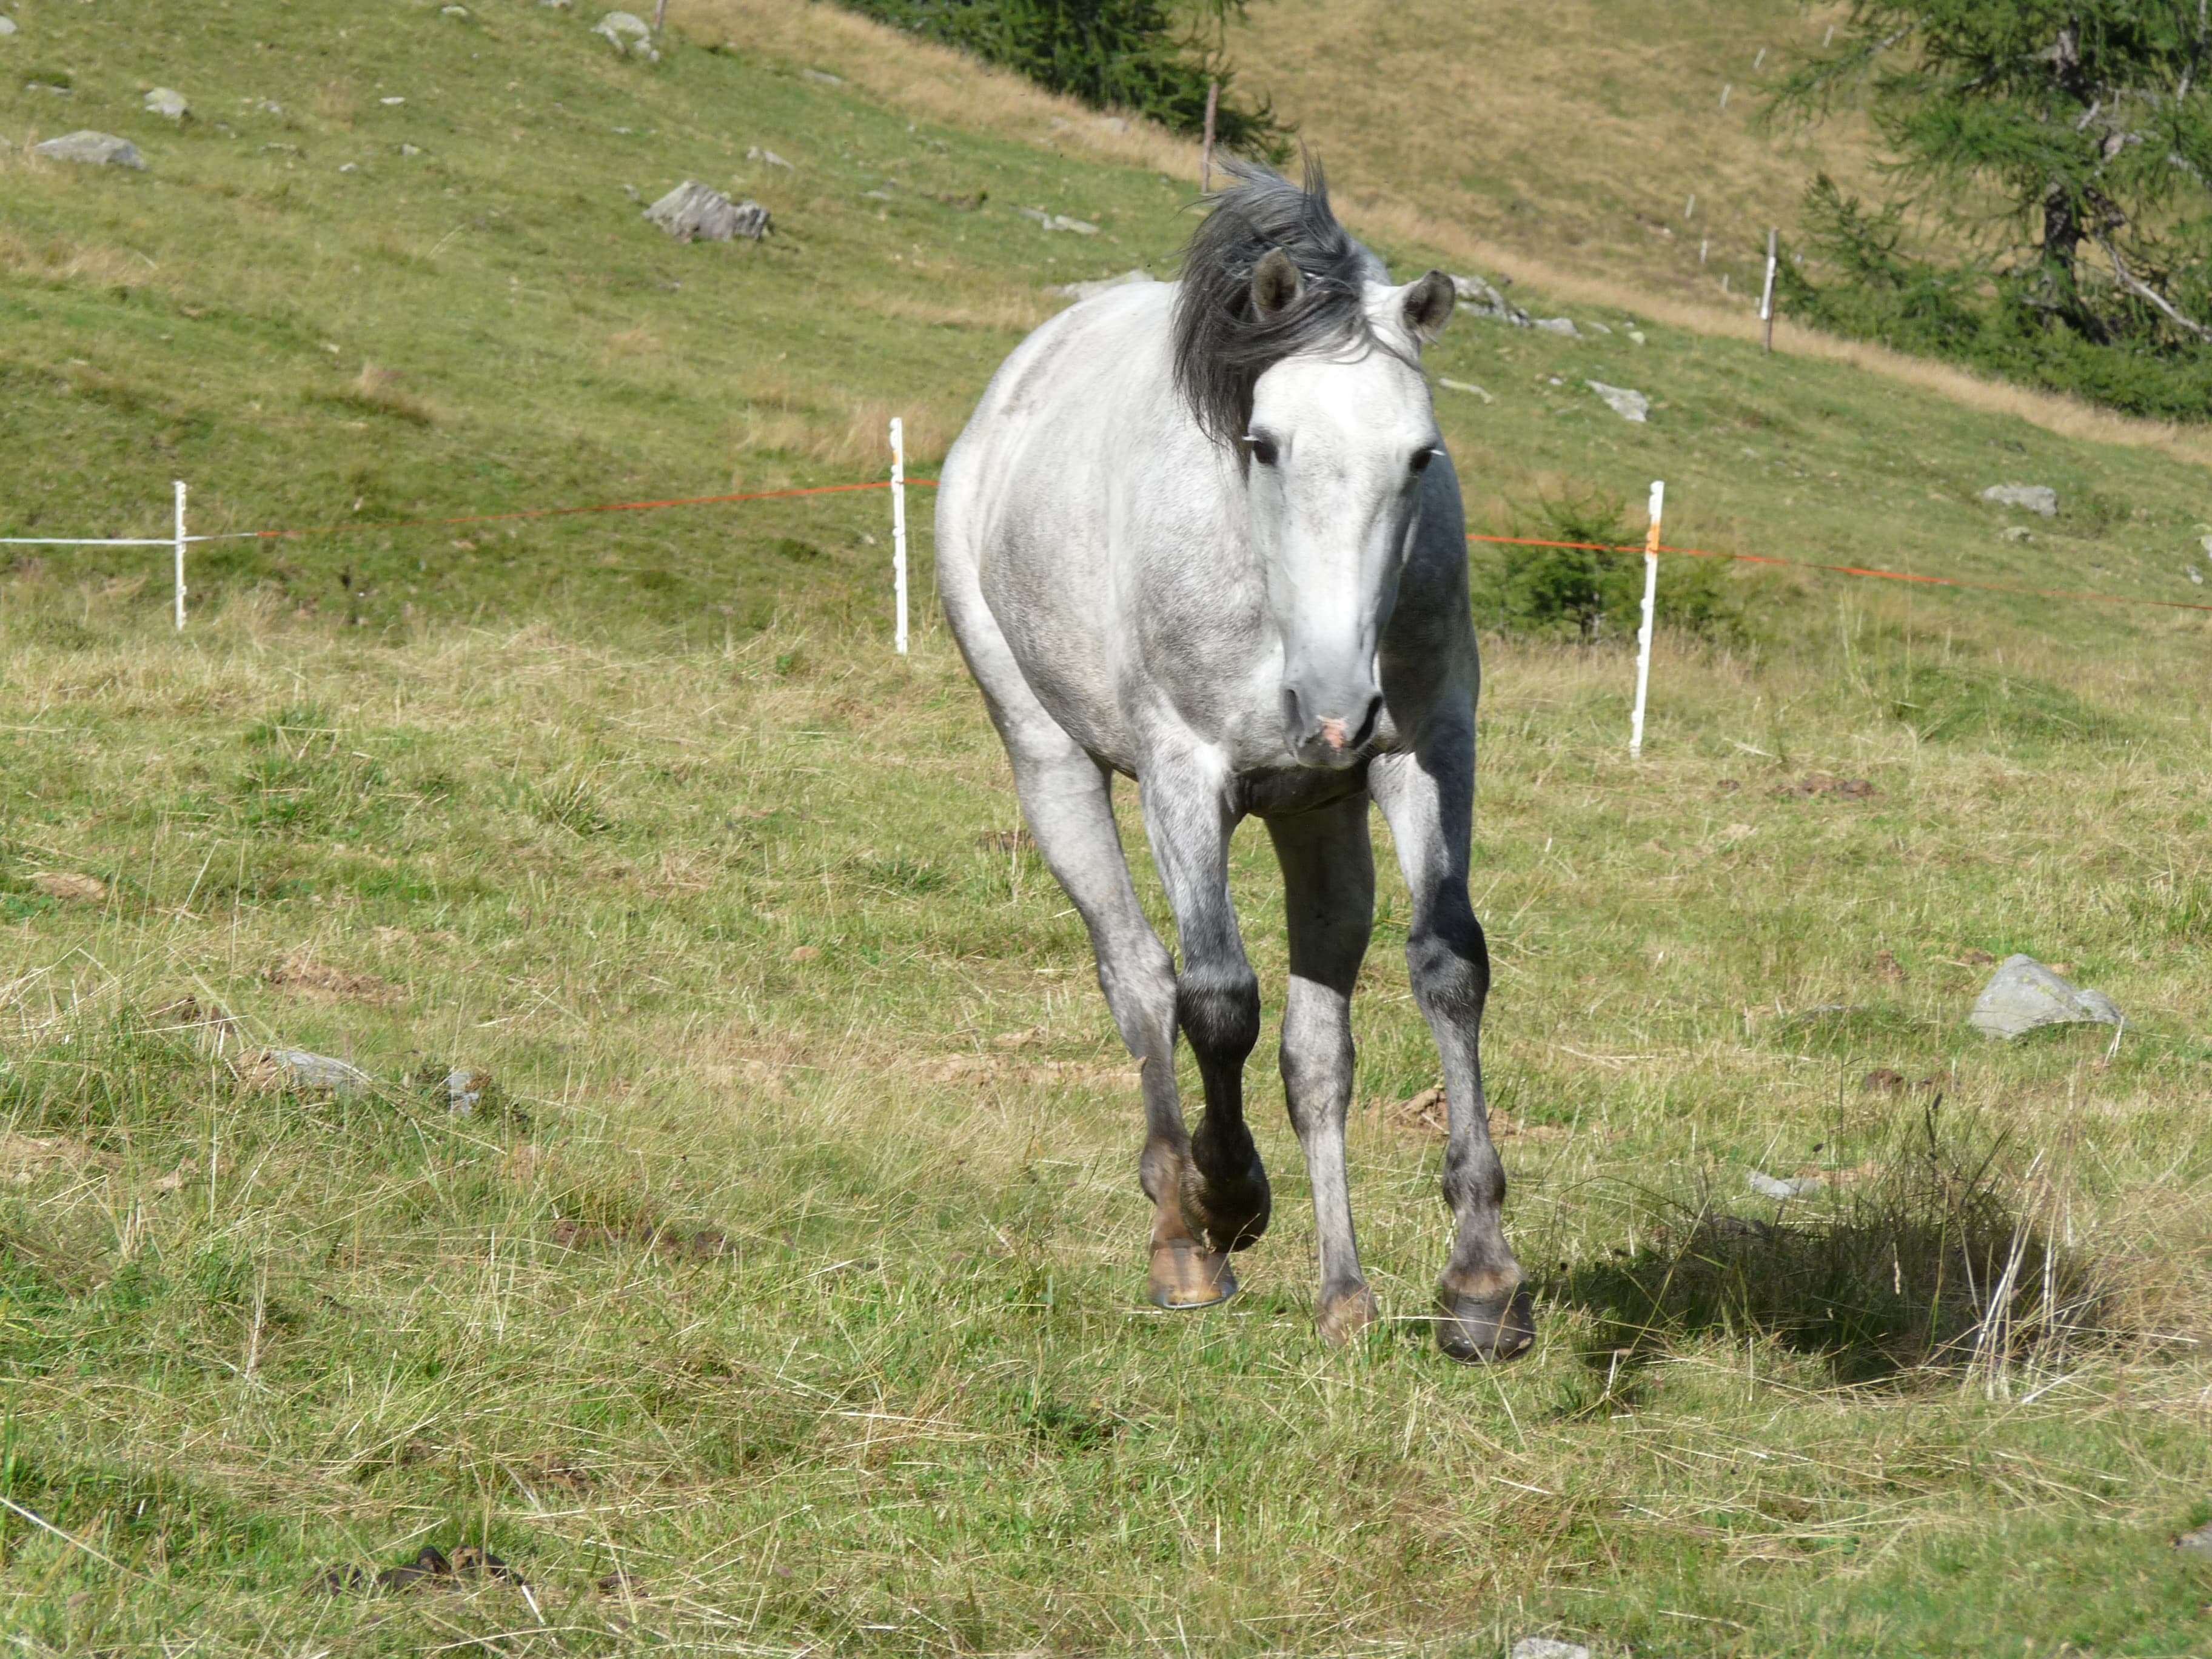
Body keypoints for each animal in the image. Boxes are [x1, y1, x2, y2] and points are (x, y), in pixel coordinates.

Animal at [934, 158, 1533, 1363]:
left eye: (1419, 456)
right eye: (1263, 445)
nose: (1337, 708)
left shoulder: (1426, 751)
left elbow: (1446, 967)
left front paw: (1482, 1283)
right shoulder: (1184, 773)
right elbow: (1214, 1000)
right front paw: (1229, 1197)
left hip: (1320, 818)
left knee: (1316, 1054)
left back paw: (1343, 1294)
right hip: (1051, 764)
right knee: (1139, 978)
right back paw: (1182, 1235)